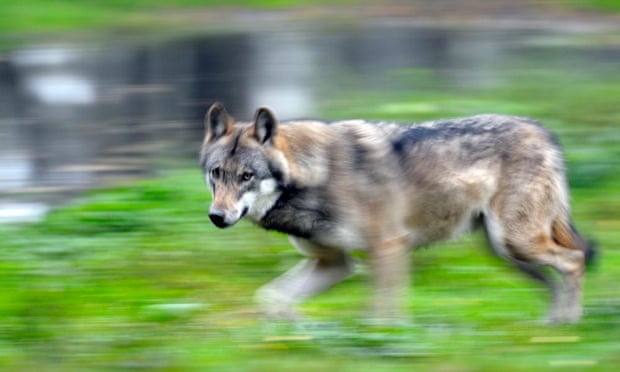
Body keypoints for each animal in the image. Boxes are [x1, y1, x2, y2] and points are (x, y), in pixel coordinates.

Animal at [200, 101, 596, 322]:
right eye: (216, 173)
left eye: (247, 176)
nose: (216, 217)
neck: (316, 174)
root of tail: (544, 132)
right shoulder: (334, 264)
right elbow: (271, 298)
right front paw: (288, 331)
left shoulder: (387, 247)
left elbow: (382, 316)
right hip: (506, 252)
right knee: (555, 279)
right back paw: (549, 328)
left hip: (516, 243)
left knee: (574, 260)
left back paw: (570, 327)